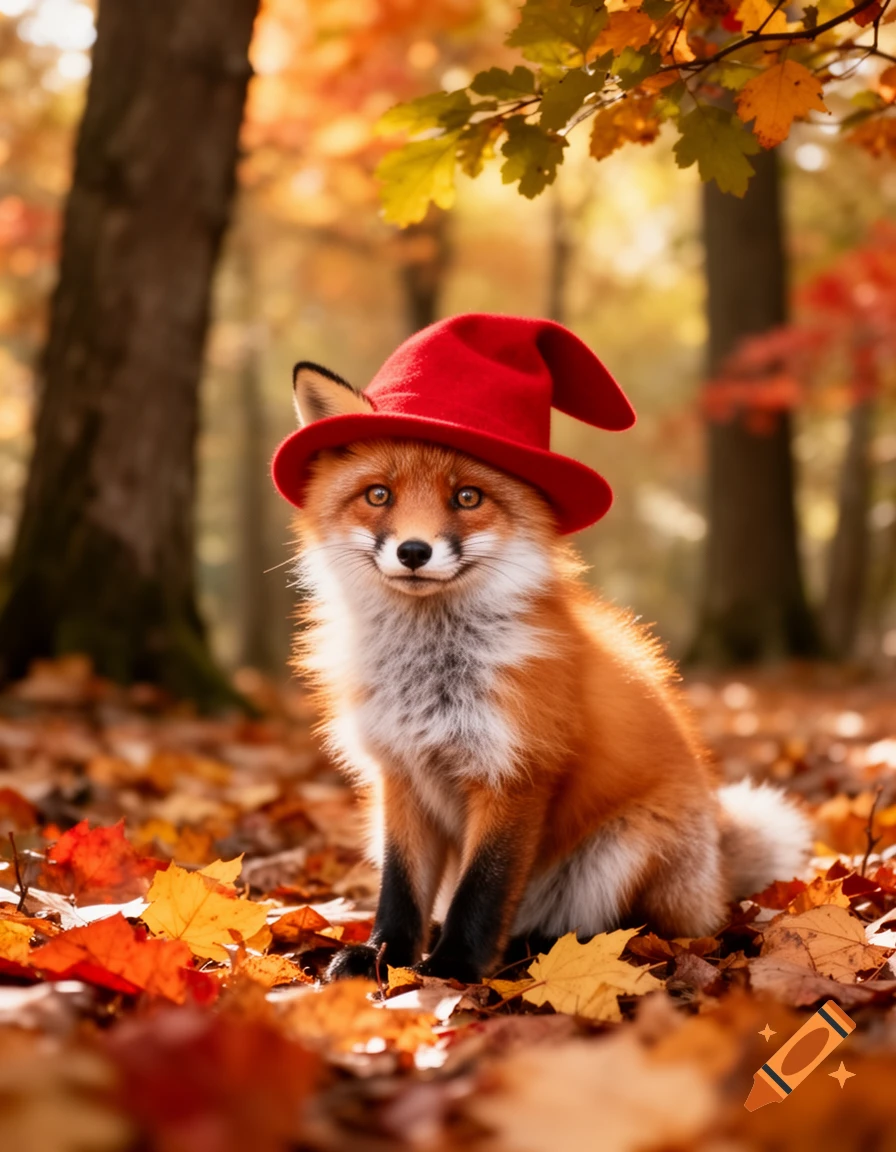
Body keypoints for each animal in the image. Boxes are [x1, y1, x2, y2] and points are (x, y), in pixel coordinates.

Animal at [288, 361, 811, 984]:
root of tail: (715, 872)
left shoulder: (515, 773)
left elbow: (482, 890)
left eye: (467, 496)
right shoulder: (400, 776)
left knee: (627, 929)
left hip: (625, 850)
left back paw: (537, 951)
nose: (414, 551)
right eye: (378, 495)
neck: (430, 671)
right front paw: (384, 957)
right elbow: (400, 891)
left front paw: (454, 968)